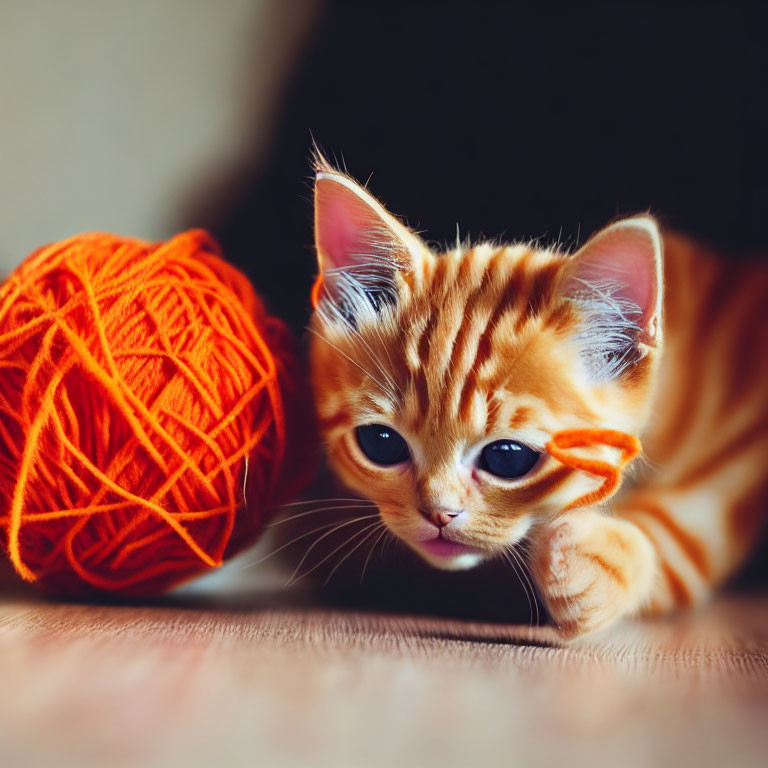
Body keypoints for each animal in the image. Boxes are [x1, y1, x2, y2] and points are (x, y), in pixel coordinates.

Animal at [308, 159, 768, 640]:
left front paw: (585, 559)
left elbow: (679, 540)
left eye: (508, 457)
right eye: (381, 444)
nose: (438, 514)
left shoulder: (738, 466)